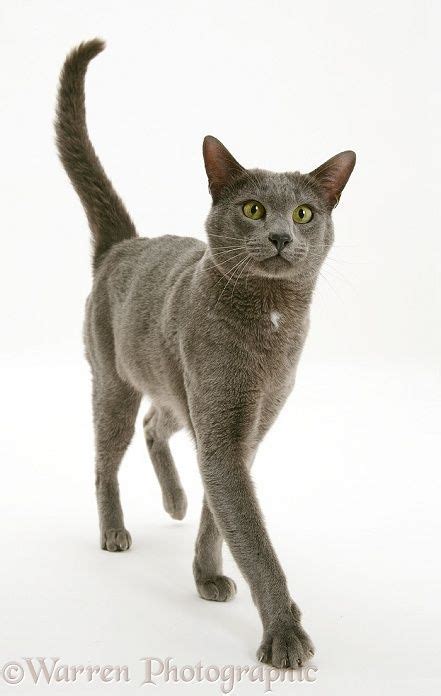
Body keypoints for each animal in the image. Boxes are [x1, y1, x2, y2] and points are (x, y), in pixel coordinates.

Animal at [55, 39, 358, 668]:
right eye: (252, 209)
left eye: (304, 213)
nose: (280, 237)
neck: (271, 319)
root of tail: (122, 245)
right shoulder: (222, 426)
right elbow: (252, 536)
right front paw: (285, 636)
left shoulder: (248, 427)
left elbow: (221, 515)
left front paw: (205, 575)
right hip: (115, 381)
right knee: (106, 457)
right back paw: (114, 532)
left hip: (175, 384)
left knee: (156, 425)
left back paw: (173, 501)